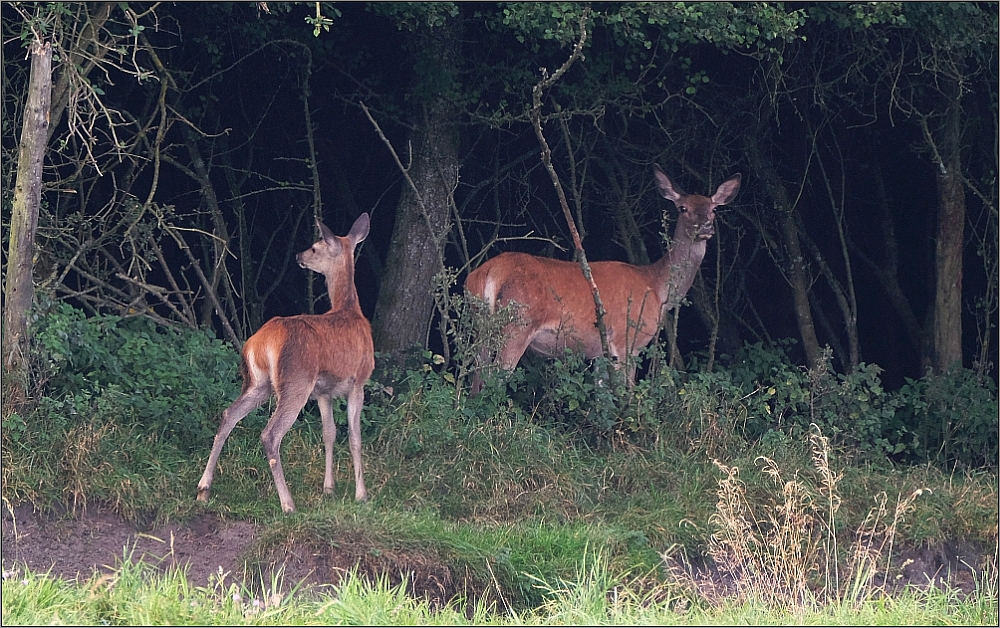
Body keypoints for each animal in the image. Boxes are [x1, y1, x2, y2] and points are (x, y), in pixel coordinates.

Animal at [198, 213, 376, 512]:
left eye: (314, 248)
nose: (298, 255)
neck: (350, 310)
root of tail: (260, 342)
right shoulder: (358, 381)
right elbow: (355, 437)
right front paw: (361, 494)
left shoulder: (324, 392)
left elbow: (329, 433)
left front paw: (329, 488)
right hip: (295, 381)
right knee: (270, 434)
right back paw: (288, 503)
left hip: (258, 383)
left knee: (229, 414)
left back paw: (204, 487)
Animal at [464, 167, 740, 392]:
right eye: (683, 208)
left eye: (713, 209)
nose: (705, 227)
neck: (657, 288)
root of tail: (490, 273)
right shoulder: (627, 340)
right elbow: (626, 393)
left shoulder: (600, 353)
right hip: (518, 325)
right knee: (494, 378)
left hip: (480, 326)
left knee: (476, 378)